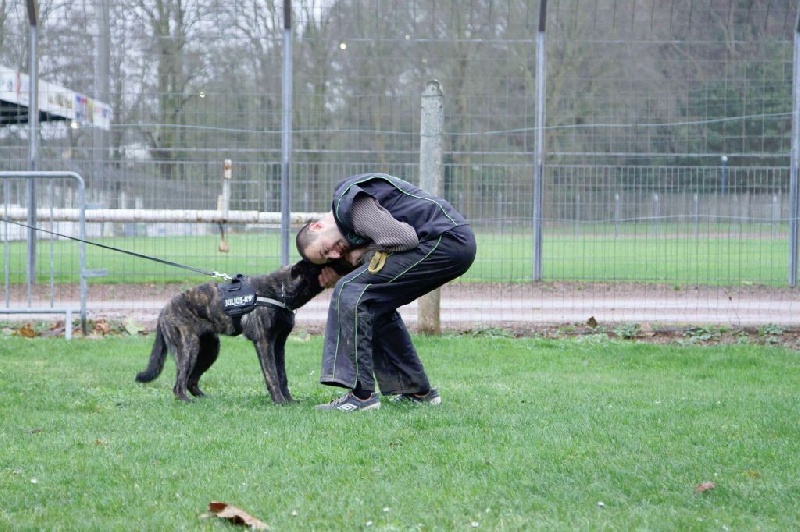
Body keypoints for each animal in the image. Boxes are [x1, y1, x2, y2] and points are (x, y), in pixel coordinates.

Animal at [135, 259, 327, 403]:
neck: (279, 289)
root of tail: (163, 311)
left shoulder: (279, 345)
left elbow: (282, 375)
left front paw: (289, 401)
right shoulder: (264, 342)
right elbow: (272, 375)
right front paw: (279, 401)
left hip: (210, 350)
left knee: (190, 380)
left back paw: (205, 399)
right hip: (189, 348)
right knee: (179, 384)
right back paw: (186, 400)